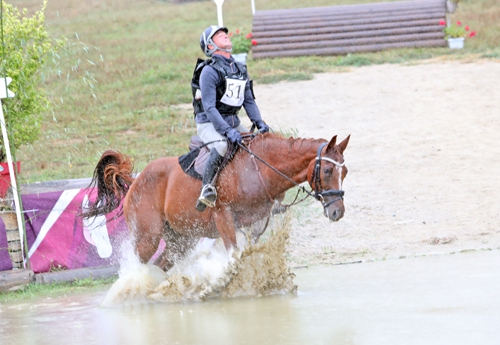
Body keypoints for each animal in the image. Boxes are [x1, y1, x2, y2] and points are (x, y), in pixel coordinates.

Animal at [80, 132, 350, 268]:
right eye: (328, 171)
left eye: (344, 172)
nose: (338, 212)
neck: (259, 169)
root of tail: (134, 182)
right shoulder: (224, 218)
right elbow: (233, 253)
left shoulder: (256, 224)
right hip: (148, 237)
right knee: (139, 264)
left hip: (182, 238)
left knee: (161, 264)